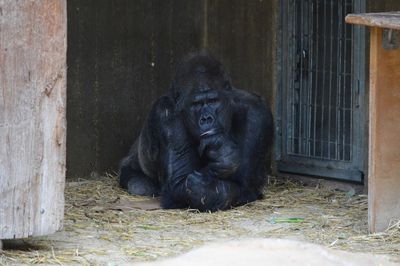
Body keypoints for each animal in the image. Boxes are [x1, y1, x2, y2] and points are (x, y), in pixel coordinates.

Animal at [119, 52, 274, 212]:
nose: (206, 119)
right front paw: (222, 161)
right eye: (196, 104)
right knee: (139, 186)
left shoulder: (257, 112)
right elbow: (180, 184)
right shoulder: (166, 114)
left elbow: (245, 182)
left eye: (213, 101)